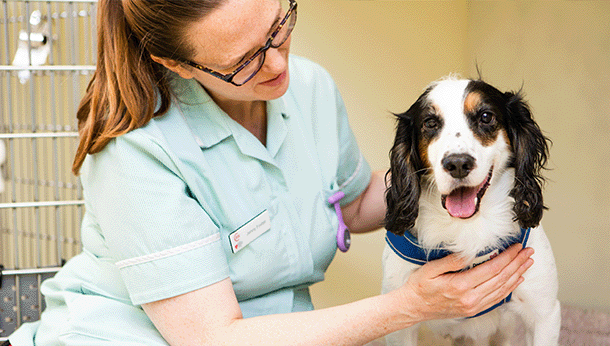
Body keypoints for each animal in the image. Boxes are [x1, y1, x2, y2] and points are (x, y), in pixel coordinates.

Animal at [382, 78, 560, 346]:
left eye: (485, 117)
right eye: (430, 123)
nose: (457, 163)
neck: (469, 226)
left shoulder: (545, 314)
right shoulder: (401, 325)